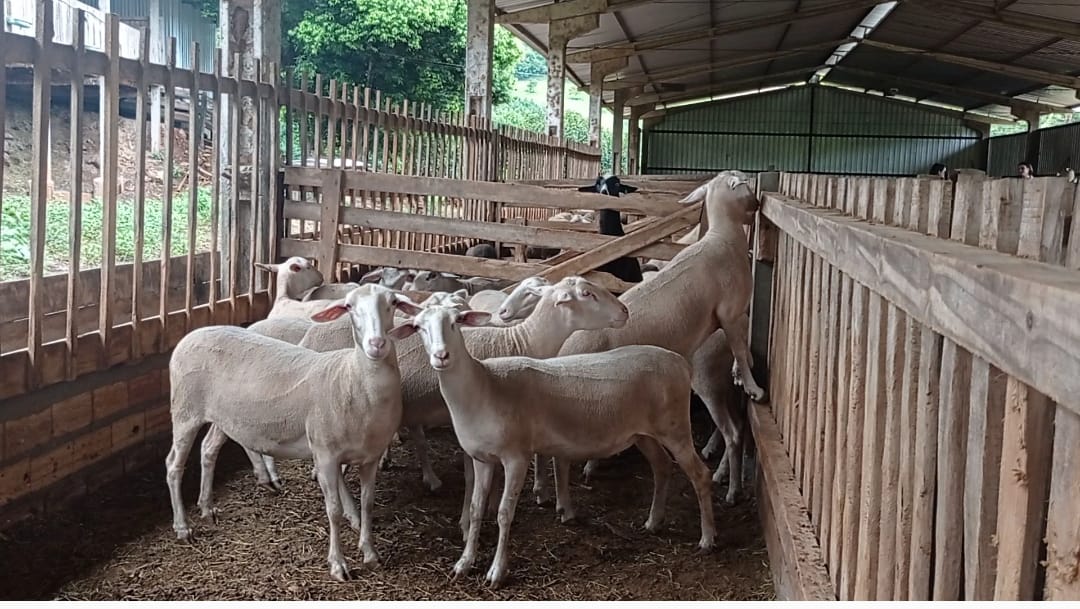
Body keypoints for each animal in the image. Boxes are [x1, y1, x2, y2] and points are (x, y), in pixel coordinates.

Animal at [165, 285, 421, 578]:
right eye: (349, 306)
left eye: (393, 302)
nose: (377, 344)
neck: (352, 380)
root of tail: (192, 334)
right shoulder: (325, 453)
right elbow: (333, 510)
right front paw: (338, 564)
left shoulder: (370, 457)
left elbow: (368, 504)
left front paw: (370, 553)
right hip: (185, 410)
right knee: (173, 465)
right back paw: (183, 527)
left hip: (222, 417)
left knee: (208, 450)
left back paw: (207, 508)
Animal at [401, 306, 712, 587]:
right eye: (418, 327)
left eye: (456, 322)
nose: (441, 356)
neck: (486, 387)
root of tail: (678, 362)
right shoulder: (482, 458)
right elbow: (476, 508)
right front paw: (464, 563)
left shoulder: (516, 456)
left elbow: (504, 512)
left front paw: (497, 572)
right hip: (643, 433)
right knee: (662, 467)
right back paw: (653, 522)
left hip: (675, 426)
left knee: (700, 475)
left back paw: (707, 538)